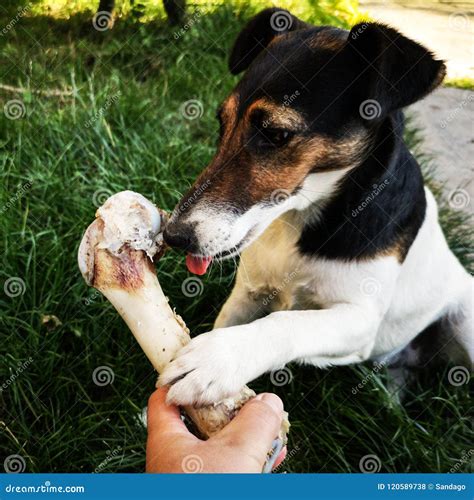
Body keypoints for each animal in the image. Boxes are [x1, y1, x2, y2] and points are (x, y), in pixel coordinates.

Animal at [158, 7, 470, 406]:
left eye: (276, 134)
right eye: (221, 123)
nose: (173, 235)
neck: (298, 220)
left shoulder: (359, 319)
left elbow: (288, 321)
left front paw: (220, 358)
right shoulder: (247, 294)